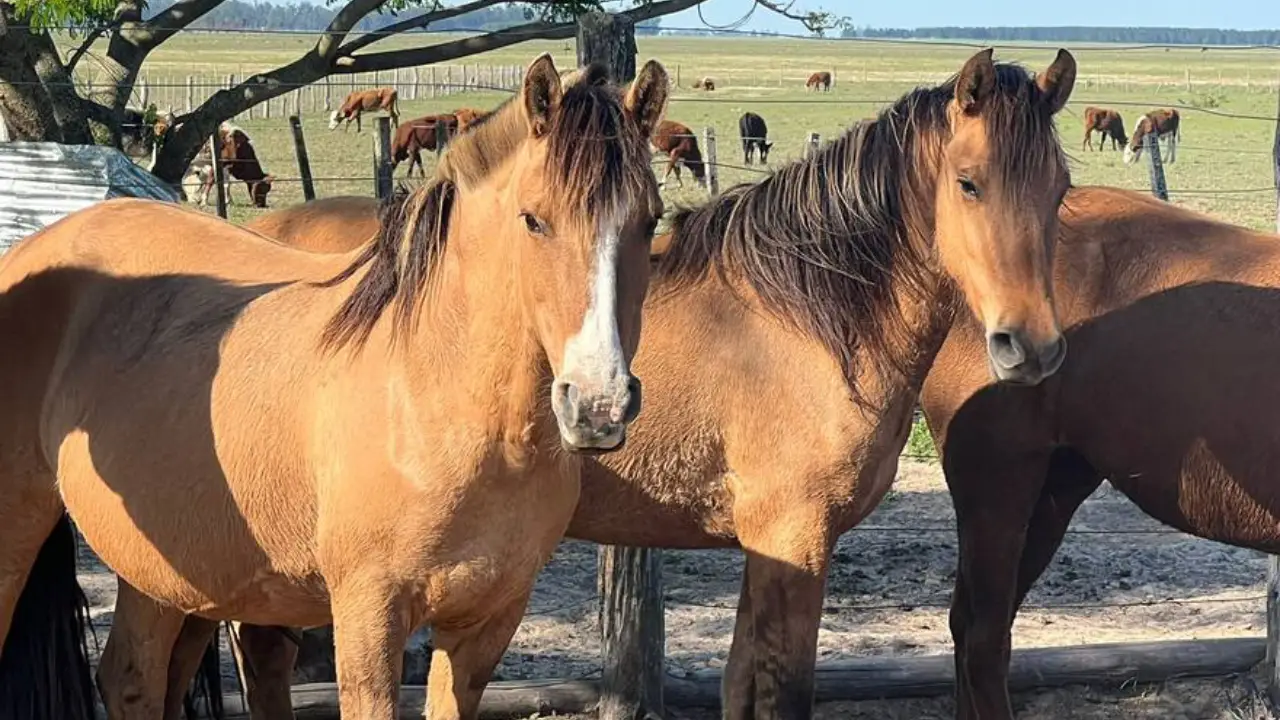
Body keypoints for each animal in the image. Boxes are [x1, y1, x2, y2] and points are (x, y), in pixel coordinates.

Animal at [0, 54, 675, 717]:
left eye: (650, 221)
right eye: (534, 220)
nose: (598, 404)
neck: (437, 402)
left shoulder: (485, 626)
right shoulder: (368, 616)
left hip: (164, 564)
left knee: (132, 679)